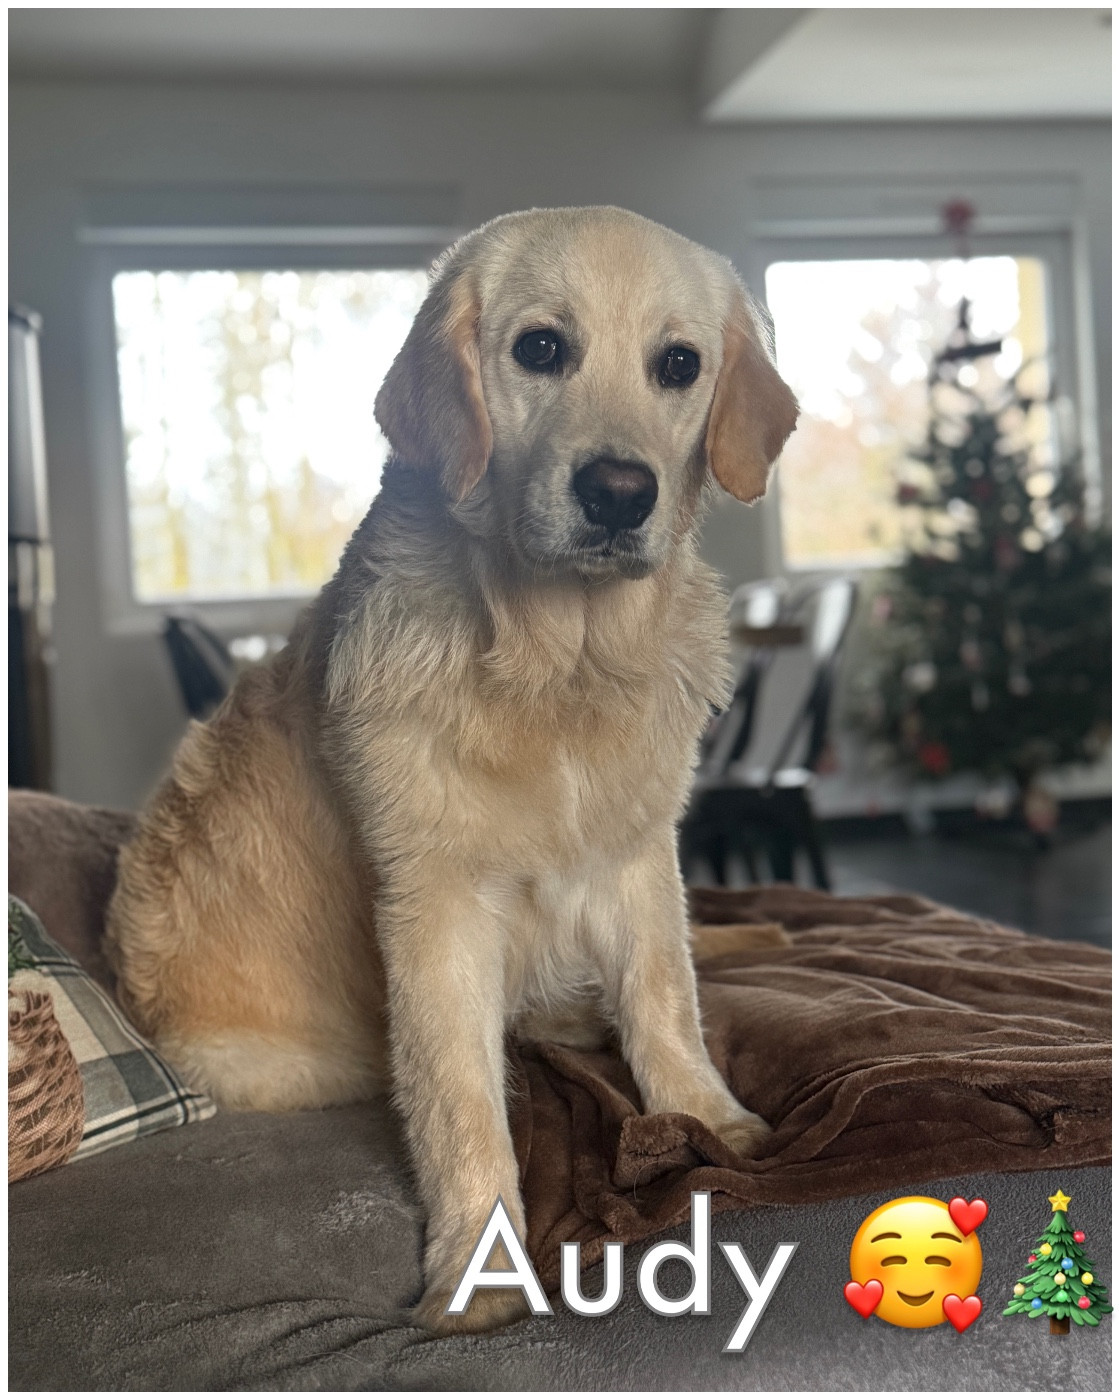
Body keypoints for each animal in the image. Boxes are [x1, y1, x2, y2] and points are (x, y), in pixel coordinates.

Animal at [105, 205, 798, 1333]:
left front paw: (706, 1113)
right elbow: (463, 1107)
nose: (618, 493)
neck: (558, 663)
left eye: (679, 364)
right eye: (541, 349)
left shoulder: (639, 856)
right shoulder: (435, 912)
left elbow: (666, 994)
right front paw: (482, 1274)